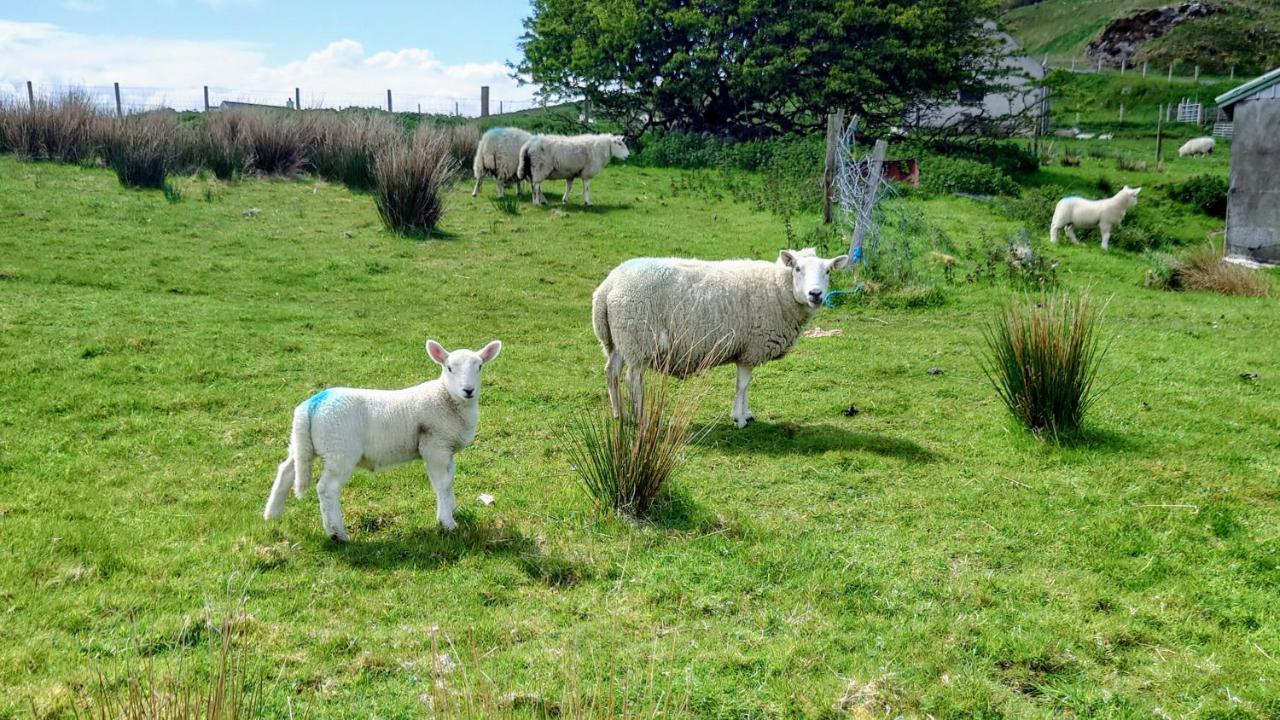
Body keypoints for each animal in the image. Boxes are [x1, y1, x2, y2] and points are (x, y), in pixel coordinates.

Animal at [262, 335, 501, 538]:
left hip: (302, 444)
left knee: (286, 471)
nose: (468, 390)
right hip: (340, 450)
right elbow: (442, 483)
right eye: (449, 368)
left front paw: (453, 509)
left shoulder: (446, 448)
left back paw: (272, 514)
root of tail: (313, 404)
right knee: (327, 489)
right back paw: (337, 533)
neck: (446, 398)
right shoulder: (435, 446)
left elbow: (450, 480)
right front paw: (447, 522)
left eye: (480, 367)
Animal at [591, 245, 849, 425]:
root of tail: (608, 286)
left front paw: (746, 413)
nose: (815, 294)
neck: (777, 289)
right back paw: (641, 418)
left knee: (611, 372)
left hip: (618, 340)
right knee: (633, 379)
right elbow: (742, 385)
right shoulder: (750, 349)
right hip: (639, 340)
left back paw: (619, 414)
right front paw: (740, 418)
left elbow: (745, 385)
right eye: (797, 269)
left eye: (828, 271)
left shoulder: (746, 350)